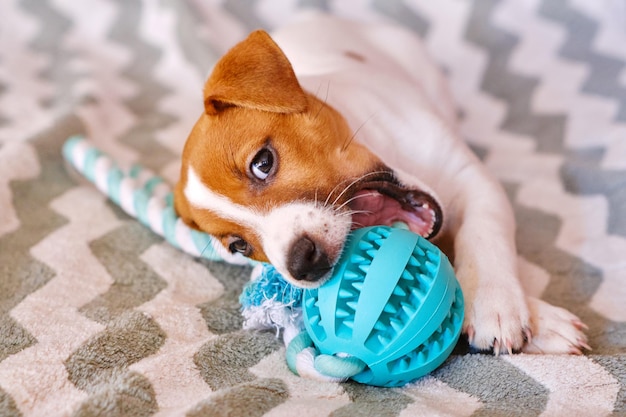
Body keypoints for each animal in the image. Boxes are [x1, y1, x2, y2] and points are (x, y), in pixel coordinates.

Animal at [173, 14, 588, 356]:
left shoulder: (473, 179)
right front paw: (540, 321)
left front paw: (496, 304)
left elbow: (483, 234)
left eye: (262, 163)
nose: (303, 265)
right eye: (238, 246)